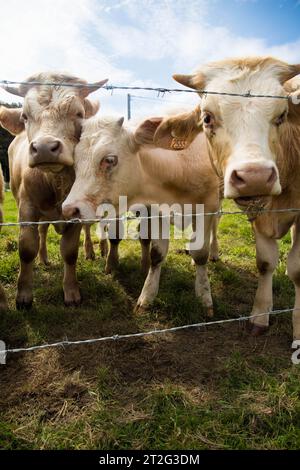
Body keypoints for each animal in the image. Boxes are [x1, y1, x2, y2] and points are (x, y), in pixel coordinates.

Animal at [0, 73, 107, 308]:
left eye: (79, 113)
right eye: (25, 116)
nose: (44, 148)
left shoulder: (75, 213)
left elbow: (69, 252)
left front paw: (71, 291)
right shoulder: (27, 207)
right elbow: (27, 248)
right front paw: (24, 295)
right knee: (41, 232)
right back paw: (44, 259)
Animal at [61, 109, 220, 316]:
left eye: (109, 159)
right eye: (76, 162)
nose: (69, 209)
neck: (180, 165)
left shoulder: (207, 207)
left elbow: (200, 252)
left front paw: (204, 297)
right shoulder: (158, 210)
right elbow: (157, 254)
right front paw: (147, 297)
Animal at [141, 57, 300, 338]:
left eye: (282, 115)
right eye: (207, 118)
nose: (255, 177)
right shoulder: (158, 209)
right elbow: (157, 254)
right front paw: (147, 296)